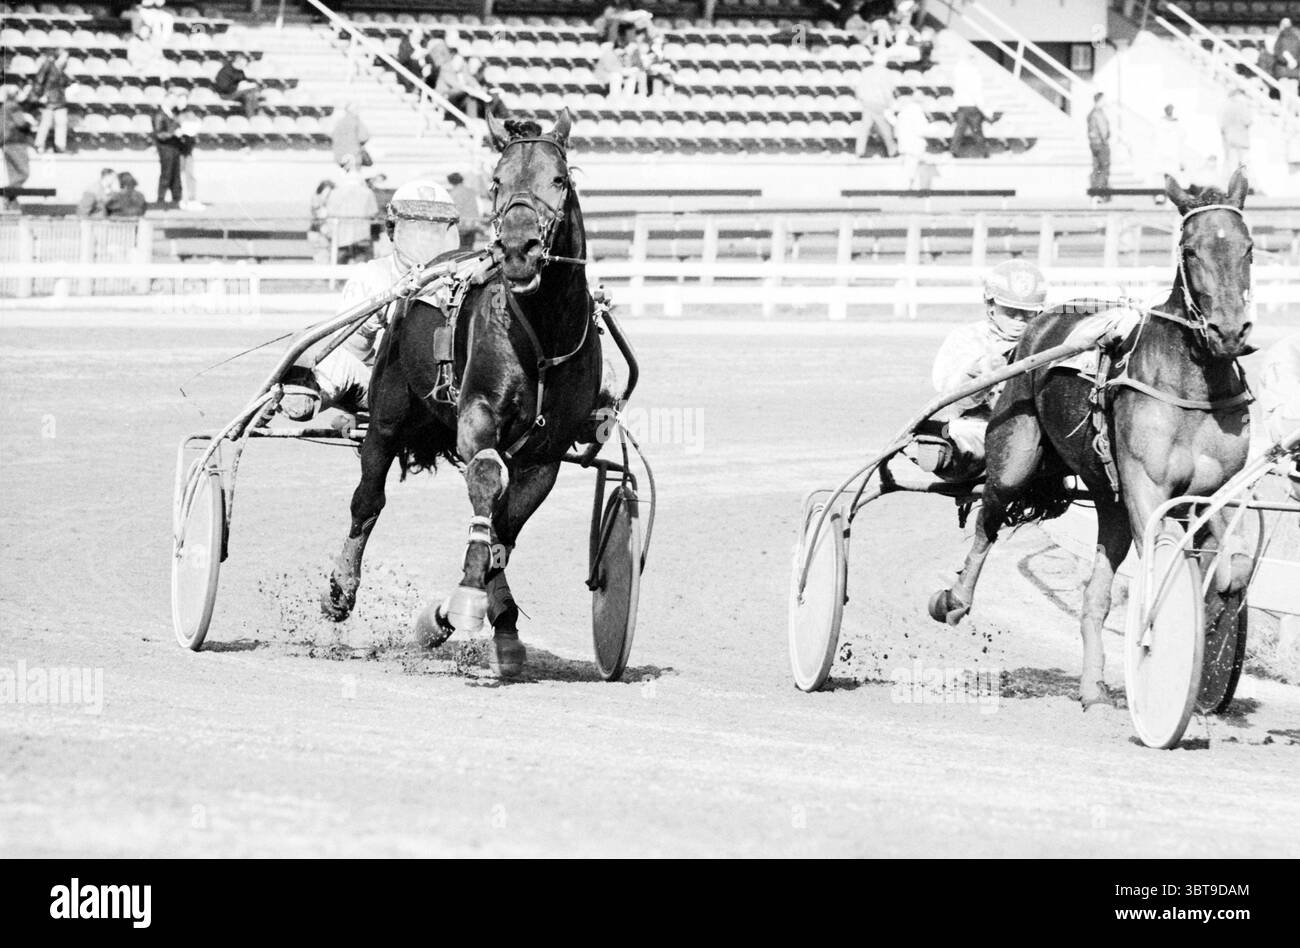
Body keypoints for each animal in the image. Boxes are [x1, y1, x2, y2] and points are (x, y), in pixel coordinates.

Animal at [320, 108, 604, 678]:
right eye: (495, 182)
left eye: (559, 180)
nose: (518, 250)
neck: (543, 336)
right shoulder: (477, 417)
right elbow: (487, 478)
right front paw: (465, 603)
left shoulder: (546, 454)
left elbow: (503, 528)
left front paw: (484, 616)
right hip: (387, 411)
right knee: (368, 500)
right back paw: (342, 588)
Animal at [930, 170, 1255, 709]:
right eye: (1189, 249)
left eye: (1248, 247)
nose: (1228, 331)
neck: (1192, 384)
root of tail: (1041, 324)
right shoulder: (1148, 490)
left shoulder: (1218, 491)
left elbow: (1236, 569)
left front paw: (1211, 629)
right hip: (1016, 455)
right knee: (986, 520)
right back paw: (953, 600)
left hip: (1110, 501)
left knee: (1095, 596)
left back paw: (1093, 689)